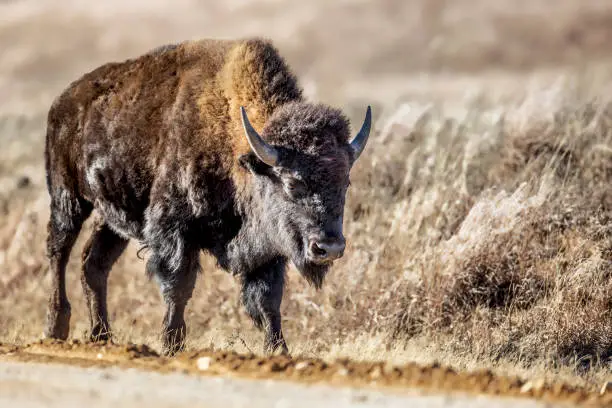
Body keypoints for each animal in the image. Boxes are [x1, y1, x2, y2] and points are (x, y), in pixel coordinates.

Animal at [43, 39, 370, 356]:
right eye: (292, 182)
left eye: (345, 182)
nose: (329, 248)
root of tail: (64, 102)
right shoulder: (175, 232)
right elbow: (179, 286)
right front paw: (172, 344)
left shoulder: (268, 250)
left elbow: (268, 298)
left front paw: (278, 349)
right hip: (67, 198)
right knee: (59, 251)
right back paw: (56, 327)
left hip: (112, 216)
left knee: (93, 263)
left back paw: (101, 336)